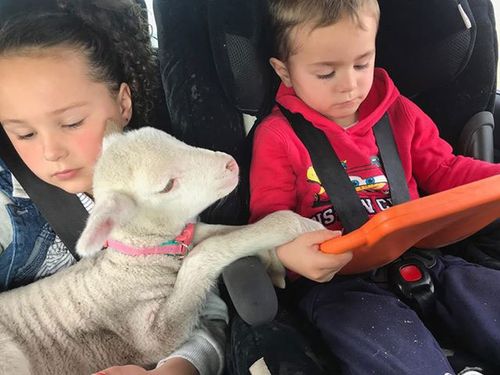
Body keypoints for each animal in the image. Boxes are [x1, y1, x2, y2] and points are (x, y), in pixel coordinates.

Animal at [0, 127, 324, 375]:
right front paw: (297, 225)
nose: (231, 164)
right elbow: (203, 254)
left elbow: (214, 233)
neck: (138, 261)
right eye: (167, 186)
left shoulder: (187, 236)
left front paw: (271, 259)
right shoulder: (154, 335)